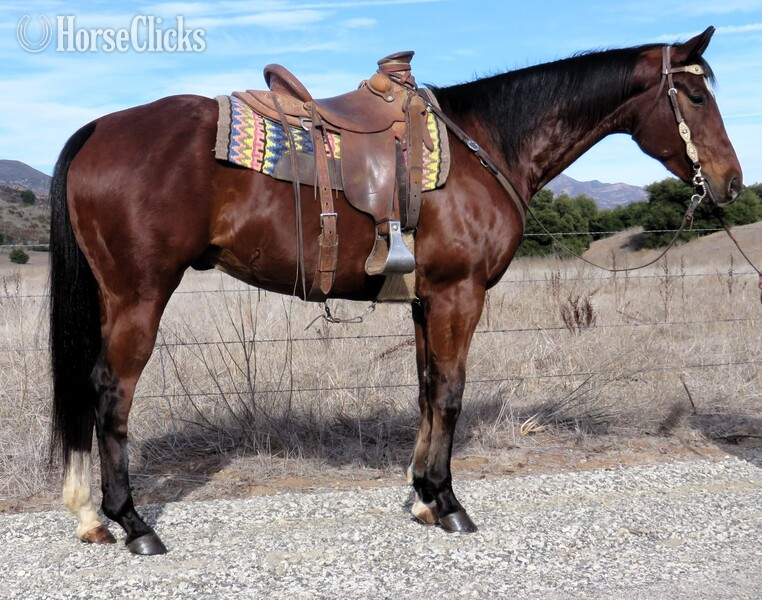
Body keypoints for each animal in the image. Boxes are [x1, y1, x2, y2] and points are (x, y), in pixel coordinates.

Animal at [49, 27, 741, 554]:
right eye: (693, 94)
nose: (732, 182)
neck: (487, 145)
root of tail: (98, 129)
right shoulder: (460, 295)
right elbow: (452, 395)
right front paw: (449, 502)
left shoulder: (425, 301)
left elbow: (427, 390)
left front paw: (423, 496)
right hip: (139, 295)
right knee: (111, 394)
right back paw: (132, 522)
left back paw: (89, 516)